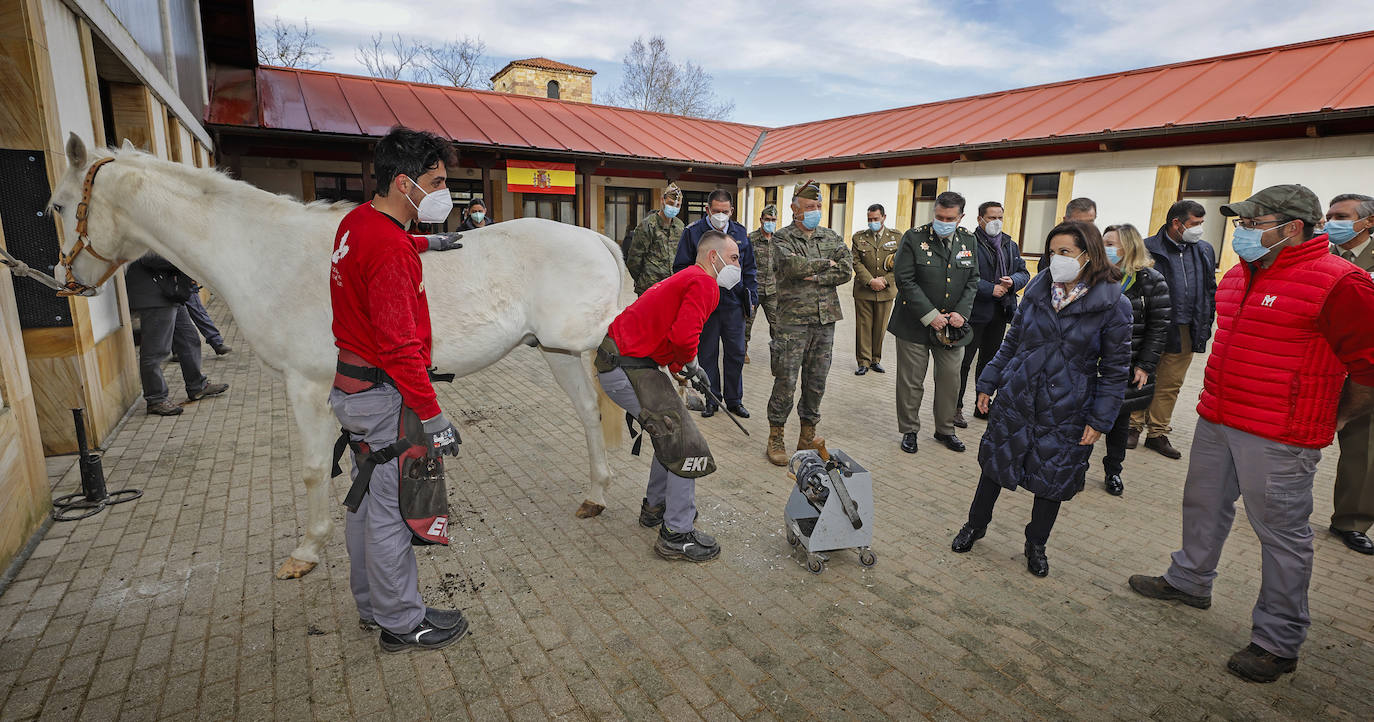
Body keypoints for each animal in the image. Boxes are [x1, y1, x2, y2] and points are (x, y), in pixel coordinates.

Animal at [50, 133, 629, 574]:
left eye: (56, 204)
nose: (62, 279)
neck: (263, 252)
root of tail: (597, 238)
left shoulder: (306, 384)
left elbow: (311, 468)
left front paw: (307, 549)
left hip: (594, 340)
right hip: (558, 351)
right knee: (588, 413)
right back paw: (597, 494)